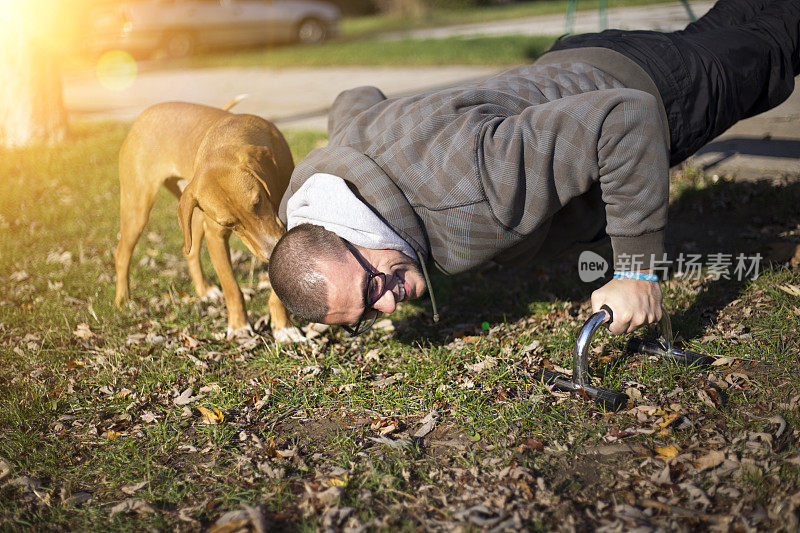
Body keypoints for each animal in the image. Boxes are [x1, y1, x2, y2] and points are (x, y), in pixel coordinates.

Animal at [115, 98, 306, 342]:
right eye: (230, 224)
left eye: (258, 201)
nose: (270, 251)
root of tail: (145, 114)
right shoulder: (216, 235)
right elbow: (232, 287)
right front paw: (239, 326)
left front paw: (283, 328)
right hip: (138, 209)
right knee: (122, 254)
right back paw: (123, 300)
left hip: (192, 214)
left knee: (189, 250)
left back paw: (203, 290)